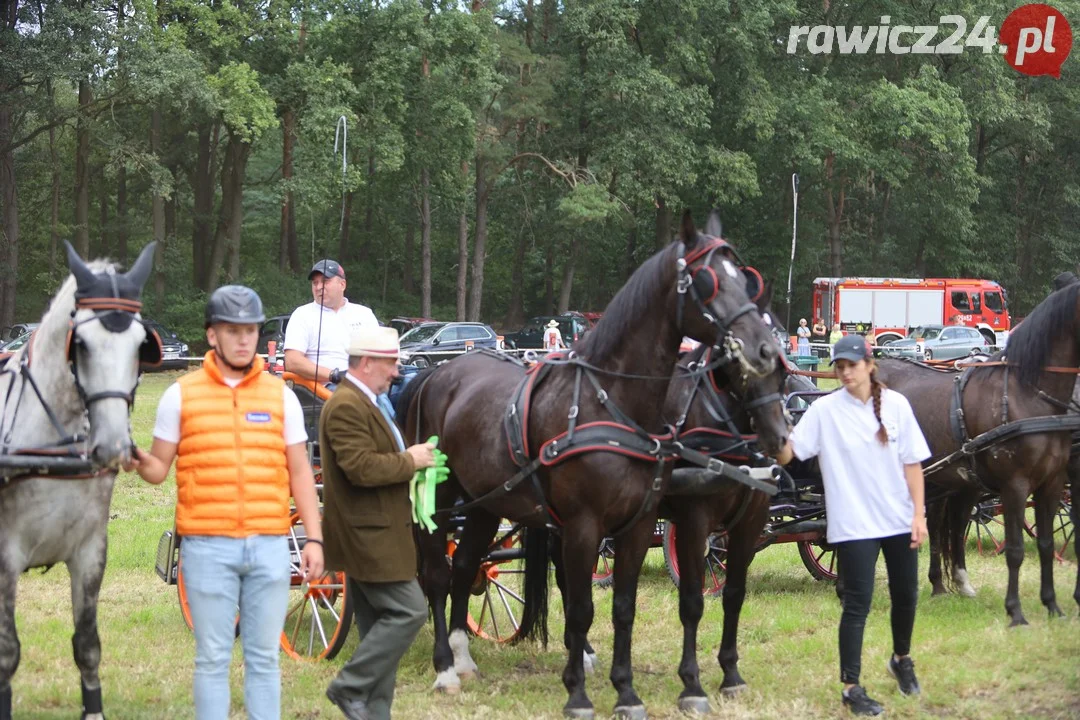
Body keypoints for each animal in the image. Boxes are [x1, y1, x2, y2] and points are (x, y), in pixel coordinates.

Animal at [0, 243, 157, 720]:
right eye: (81, 344)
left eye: (141, 345)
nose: (113, 446)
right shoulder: (5, 557)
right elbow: (8, 652)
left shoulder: (89, 552)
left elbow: (87, 645)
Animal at [397, 211, 786, 716]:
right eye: (708, 281)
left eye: (745, 280)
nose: (763, 350)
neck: (613, 401)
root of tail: (433, 375)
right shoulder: (619, 522)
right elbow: (598, 606)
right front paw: (585, 694)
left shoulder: (645, 524)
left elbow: (629, 605)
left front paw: (629, 691)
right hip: (440, 499)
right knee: (438, 574)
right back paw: (445, 666)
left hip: (486, 502)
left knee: (466, 566)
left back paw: (466, 658)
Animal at [872, 280, 1080, 626]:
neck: (1030, 396)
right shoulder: (1015, 486)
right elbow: (1015, 550)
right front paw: (1016, 612)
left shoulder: (1051, 484)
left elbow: (1046, 544)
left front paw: (1052, 606)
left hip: (947, 478)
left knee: (941, 524)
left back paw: (943, 585)